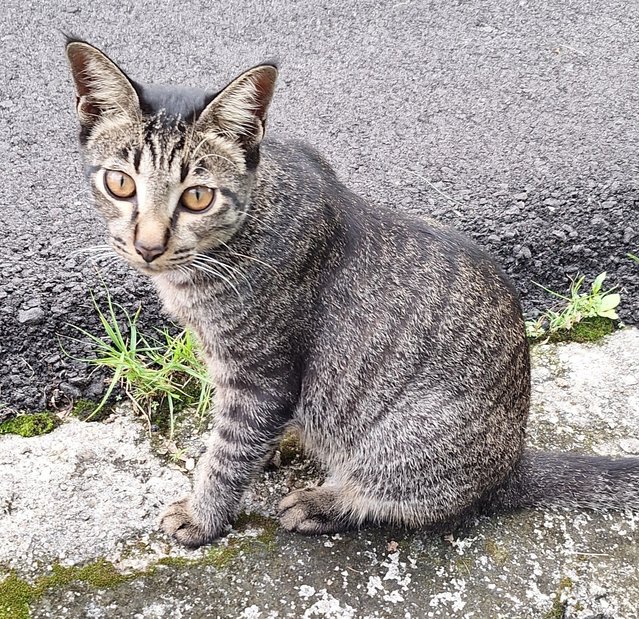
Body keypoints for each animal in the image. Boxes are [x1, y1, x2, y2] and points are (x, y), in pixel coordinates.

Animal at [66, 38, 639, 548]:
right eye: (120, 184)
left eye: (198, 197)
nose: (148, 246)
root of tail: (512, 463)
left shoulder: (260, 378)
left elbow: (227, 453)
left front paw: (204, 514)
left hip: (404, 440)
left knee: (391, 498)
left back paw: (322, 500)